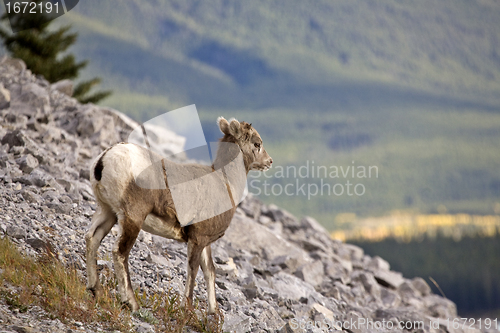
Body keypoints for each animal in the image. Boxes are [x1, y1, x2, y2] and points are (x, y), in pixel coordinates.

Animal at [86, 116, 274, 312]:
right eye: (257, 143)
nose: (269, 161)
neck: (225, 183)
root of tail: (105, 159)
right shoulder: (197, 239)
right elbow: (193, 270)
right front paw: (188, 309)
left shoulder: (205, 240)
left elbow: (210, 271)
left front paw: (214, 313)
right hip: (132, 218)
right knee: (120, 252)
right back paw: (131, 302)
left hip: (107, 211)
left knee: (92, 238)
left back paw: (96, 290)